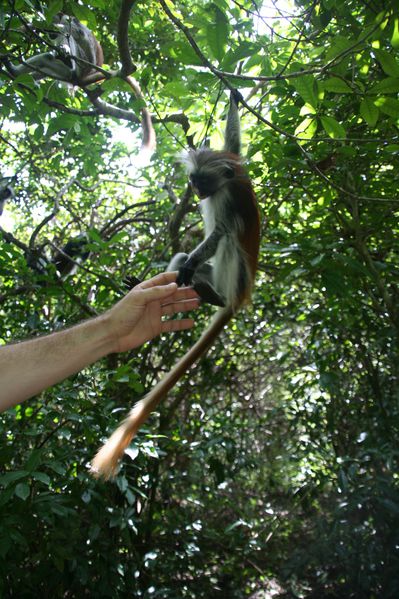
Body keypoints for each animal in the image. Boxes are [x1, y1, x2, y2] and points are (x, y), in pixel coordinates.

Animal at [6, 14, 156, 152]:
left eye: (52, 29)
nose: (50, 34)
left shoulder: (71, 26)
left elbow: (76, 35)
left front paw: (63, 46)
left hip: (79, 68)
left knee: (58, 51)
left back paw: (15, 70)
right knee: (48, 59)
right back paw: (19, 76)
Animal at [92, 91, 262, 480]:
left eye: (202, 182)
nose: (195, 191)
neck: (226, 181)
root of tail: (239, 298)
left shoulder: (229, 197)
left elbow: (220, 233)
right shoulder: (234, 161)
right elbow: (234, 143)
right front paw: (234, 98)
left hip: (236, 276)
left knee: (228, 242)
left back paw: (213, 294)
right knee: (186, 254)